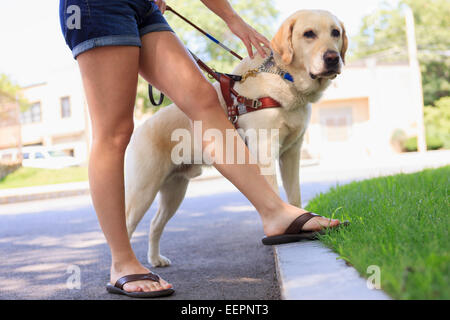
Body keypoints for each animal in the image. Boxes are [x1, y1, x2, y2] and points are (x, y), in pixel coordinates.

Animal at [125, 10, 350, 266]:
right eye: (309, 34)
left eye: (335, 33)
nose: (332, 58)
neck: (286, 79)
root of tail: (143, 126)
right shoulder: (265, 152)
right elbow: (274, 192)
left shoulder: (292, 154)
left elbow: (294, 196)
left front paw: (303, 223)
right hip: (143, 190)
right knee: (127, 226)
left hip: (174, 191)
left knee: (155, 224)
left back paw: (155, 259)